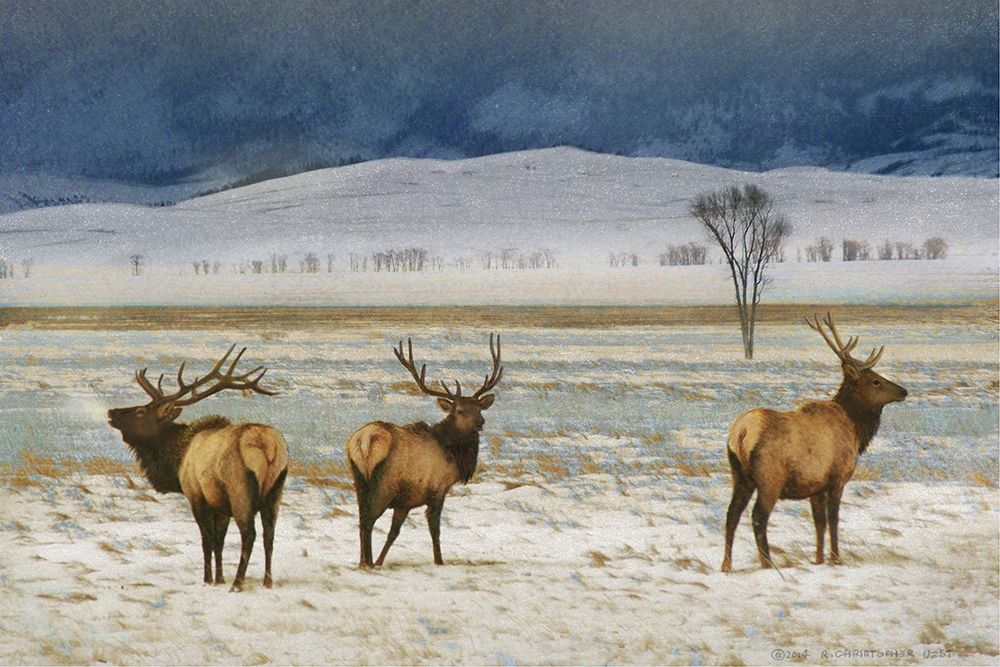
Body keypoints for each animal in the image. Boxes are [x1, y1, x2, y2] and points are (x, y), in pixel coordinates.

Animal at [106, 345, 289, 592]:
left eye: (141, 411)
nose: (112, 412)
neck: (177, 461)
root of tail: (268, 445)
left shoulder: (196, 495)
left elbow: (207, 541)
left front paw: (208, 579)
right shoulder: (220, 505)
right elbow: (220, 541)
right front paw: (219, 578)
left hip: (240, 488)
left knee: (249, 533)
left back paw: (237, 583)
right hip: (275, 491)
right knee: (269, 535)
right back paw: (267, 582)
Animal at [345, 333, 503, 568]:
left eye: (479, 408)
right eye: (459, 410)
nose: (480, 422)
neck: (453, 455)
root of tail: (365, 440)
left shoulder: (406, 501)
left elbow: (393, 533)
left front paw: (382, 561)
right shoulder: (437, 490)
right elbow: (434, 530)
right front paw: (439, 561)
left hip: (358, 479)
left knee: (362, 519)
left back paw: (365, 562)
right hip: (382, 484)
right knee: (368, 520)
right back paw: (368, 563)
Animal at [721, 313, 907, 573]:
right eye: (876, 381)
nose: (904, 391)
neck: (856, 429)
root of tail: (741, 433)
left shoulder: (815, 486)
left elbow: (819, 523)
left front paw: (818, 560)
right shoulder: (837, 477)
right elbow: (833, 519)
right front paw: (836, 558)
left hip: (739, 476)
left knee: (731, 515)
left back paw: (726, 565)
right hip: (769, 478)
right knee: (758, 517)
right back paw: (767, 563)